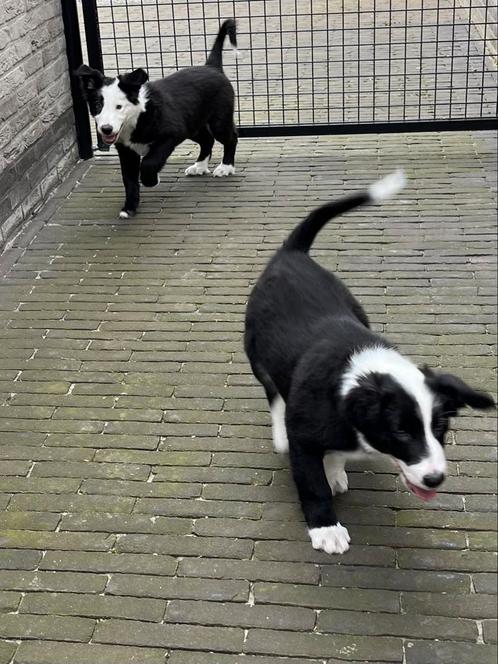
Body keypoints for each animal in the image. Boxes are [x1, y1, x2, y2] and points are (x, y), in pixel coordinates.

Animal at [76, 18, 241, 218]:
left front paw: (151, 180)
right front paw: (129, 207)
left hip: (218, 121)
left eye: (119, 107)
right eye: (97, 106)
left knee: (231, 138)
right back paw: (200, 166)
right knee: (207, 140)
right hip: (193, 124)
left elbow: (149, 163)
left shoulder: (170, 135)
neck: (138, 116)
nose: (106, 129)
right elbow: (129, 180)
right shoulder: (126, 150)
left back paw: (226, 167)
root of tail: (212, 66)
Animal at [245, 171, 494, 556]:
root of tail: (292, 253)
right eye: (401, 431)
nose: (435, 478)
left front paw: (334, 470)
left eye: (440, 427)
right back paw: (280, 432)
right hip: (255, 350)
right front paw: (326, 528)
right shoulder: (304, 437)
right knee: (272, 390)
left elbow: (334, 454)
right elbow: (312, 482)